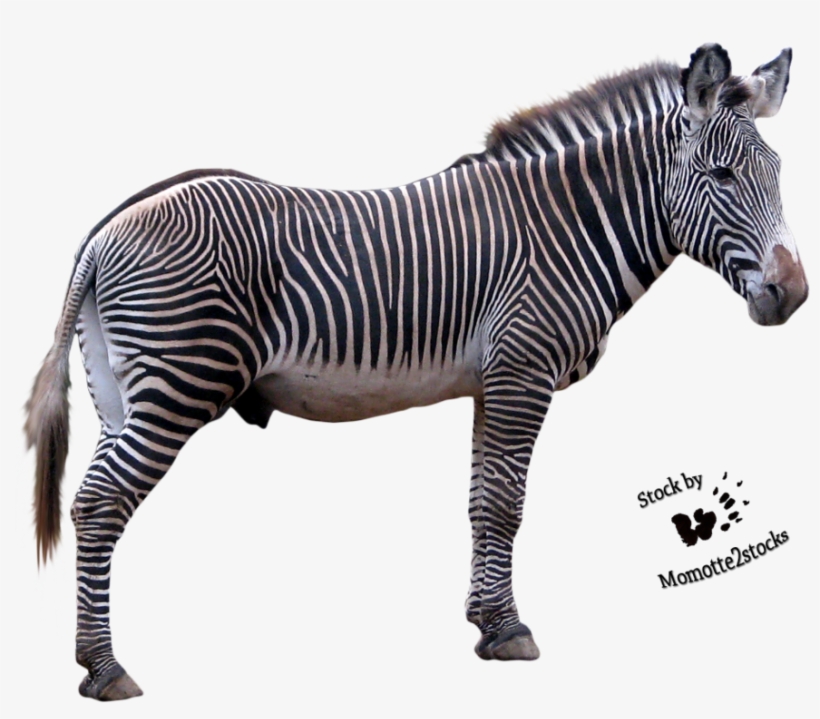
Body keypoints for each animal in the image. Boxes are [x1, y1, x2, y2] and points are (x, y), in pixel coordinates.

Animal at [25, 44, 807, 700]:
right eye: (722, 175)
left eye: (776, 175)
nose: (793, 294)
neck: (569, 227)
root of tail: (105, 230)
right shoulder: (524, 371)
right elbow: (507, 504)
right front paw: (512, 631)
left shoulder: (495, 381)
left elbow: (481, 503)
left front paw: (486, 622)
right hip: (178, 385)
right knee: (100, 504)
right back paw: (106, 669)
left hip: (119, 396)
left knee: (92, 501)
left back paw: (91, 659)